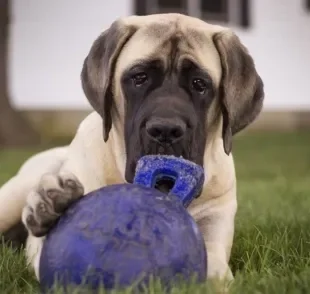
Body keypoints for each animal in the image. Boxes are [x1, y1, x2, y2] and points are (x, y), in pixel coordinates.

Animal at [0, 13, 264, 284]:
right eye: (139, 78)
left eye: (200, 84)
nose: (165, 129)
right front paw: (50, 206)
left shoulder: (216, 219)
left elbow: (215, 267)